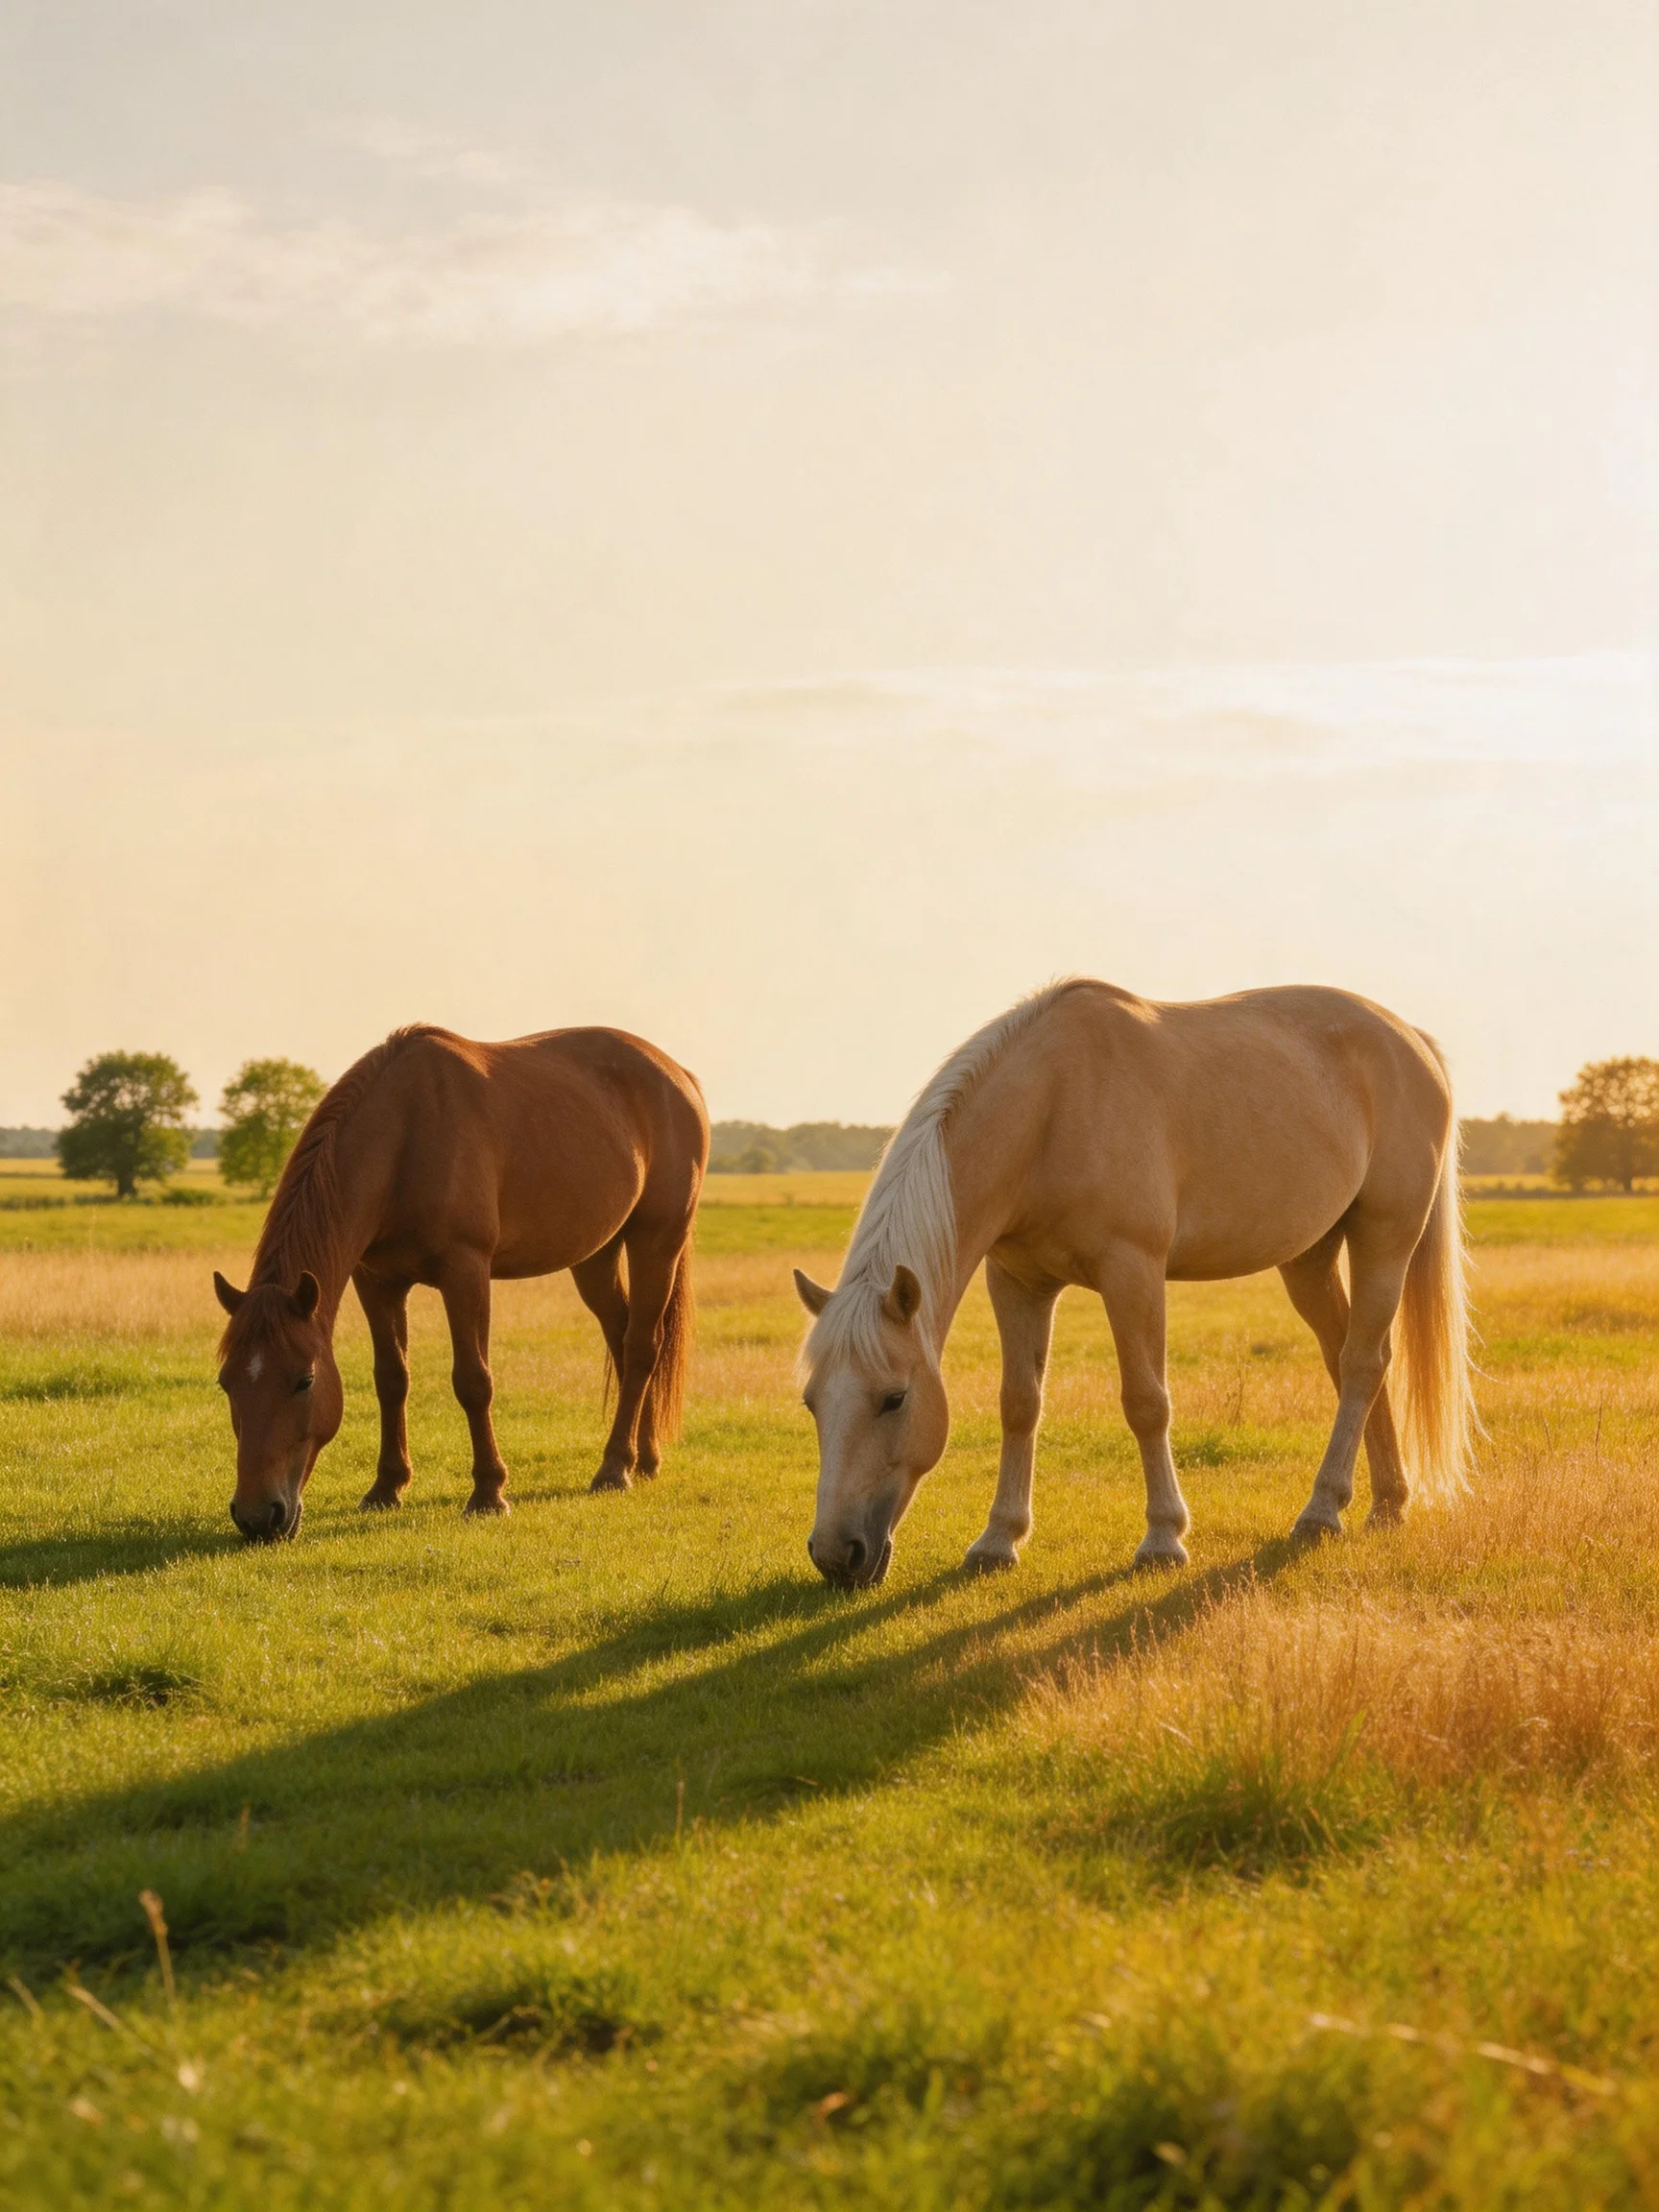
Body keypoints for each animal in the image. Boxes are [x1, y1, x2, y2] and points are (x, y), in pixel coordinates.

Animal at [213, 1024, 708, 1541]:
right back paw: (643, 1458)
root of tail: (678, 1076)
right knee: (622, 1339)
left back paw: (614, 1468)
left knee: (642, 1347)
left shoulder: (466, 1271)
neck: (404, 1138)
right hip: (596, 1256)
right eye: (226, 1383)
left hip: (658, 1240)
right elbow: (391, 1378)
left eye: (304, 1381)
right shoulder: (377, 1282)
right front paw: (387, 1487)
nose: (256, 1517)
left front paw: (489, 1493)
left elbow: (473, 1381)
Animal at [795, 979, 1474, 1588]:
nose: (836, 1556)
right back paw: (1386, 1502)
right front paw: (998, 1540)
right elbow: (1019, 1404)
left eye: (894, 1399)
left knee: (1361, 1363)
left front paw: (1163, 1539)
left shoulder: (1133, 1272)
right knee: (1353, 1359)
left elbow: (1147, 1403)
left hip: (1385, 1238)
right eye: (811, 1402)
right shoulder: (1016, 1282)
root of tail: (1412, 1040)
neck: (1051, 1109)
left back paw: (1322, 1510)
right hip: (1309, 1259)